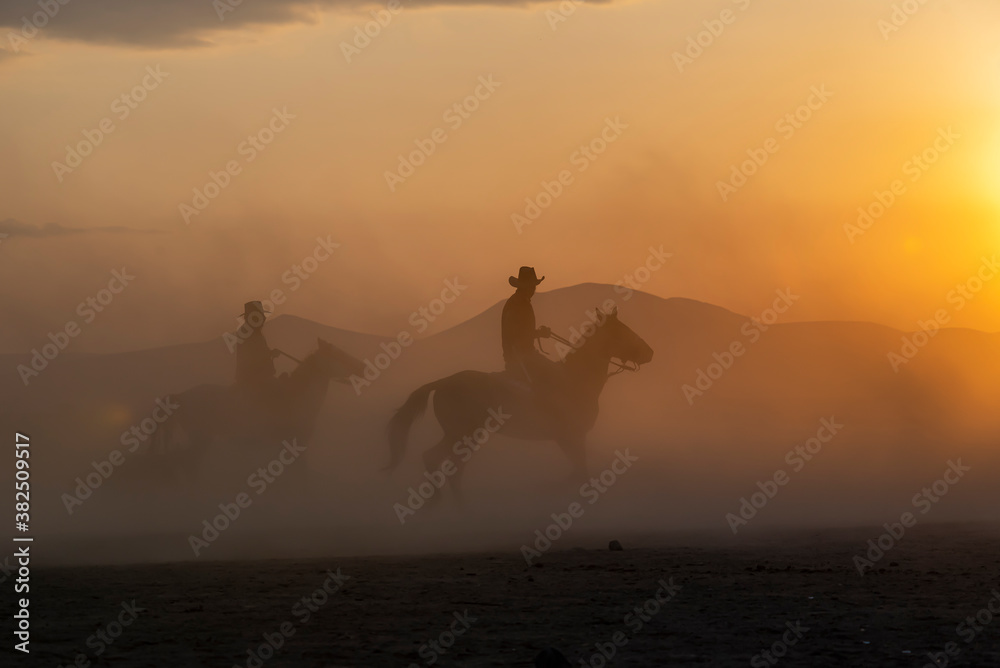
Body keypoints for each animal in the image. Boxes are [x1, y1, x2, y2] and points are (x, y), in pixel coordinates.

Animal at [146, 336, 366, 482]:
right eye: (339, 354)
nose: (362, 367)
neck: (299, 395)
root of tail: (180, 396)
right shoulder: (297, 442)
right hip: (199, 435)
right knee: (188, 464)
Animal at [384, 306, 656, 498]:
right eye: (622, 330)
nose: (650, 352)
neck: (575, 379)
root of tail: (442, 382)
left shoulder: (571, 439)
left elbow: (579, 474)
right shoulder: (571, 437)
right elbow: (580, 475)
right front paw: (543, 488)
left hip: (464, 436)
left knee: (450, 467)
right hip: (461, 434)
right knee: (438, 460)